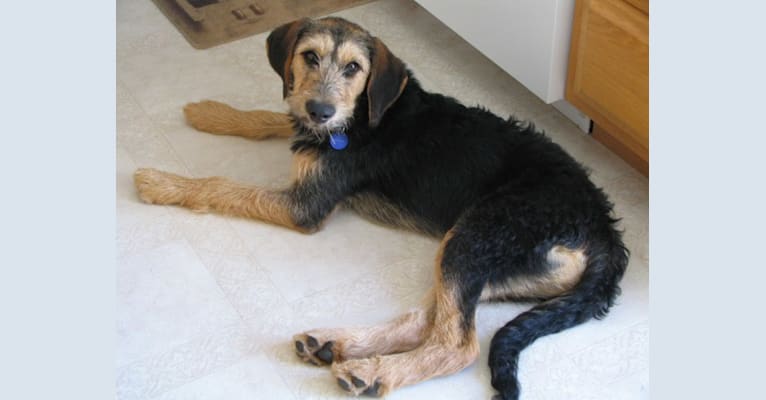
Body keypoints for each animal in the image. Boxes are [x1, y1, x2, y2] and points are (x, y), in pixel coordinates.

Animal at [134, 16, 632, 400]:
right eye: (309, 57)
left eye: (354, 68)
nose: (320, 109)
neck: (363, 113)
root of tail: (603, 229)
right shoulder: (305, 124)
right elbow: (270, 117)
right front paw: (212, 112)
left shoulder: (305, 205)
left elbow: (222, 185)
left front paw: (162, 182)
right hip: (494, 263)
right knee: (426, 320)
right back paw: (333, 344)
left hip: (477, 236)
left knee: (456, 343)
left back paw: (373, 372)